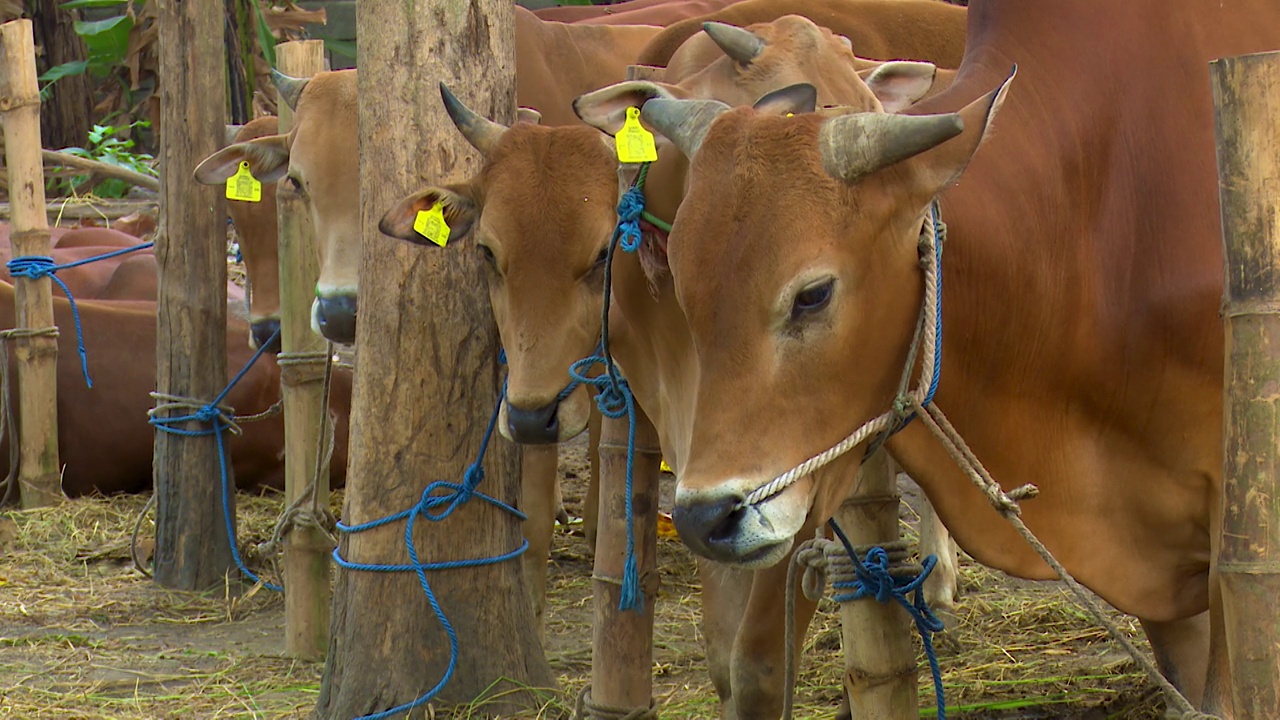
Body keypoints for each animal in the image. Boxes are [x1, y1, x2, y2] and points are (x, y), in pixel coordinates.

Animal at [373, 14, 957, 712]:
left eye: (602, 253)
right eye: (488, 252)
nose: (533, 416)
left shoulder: (783, 472)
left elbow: (759, 659)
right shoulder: (699, 463)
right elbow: (721, 646)